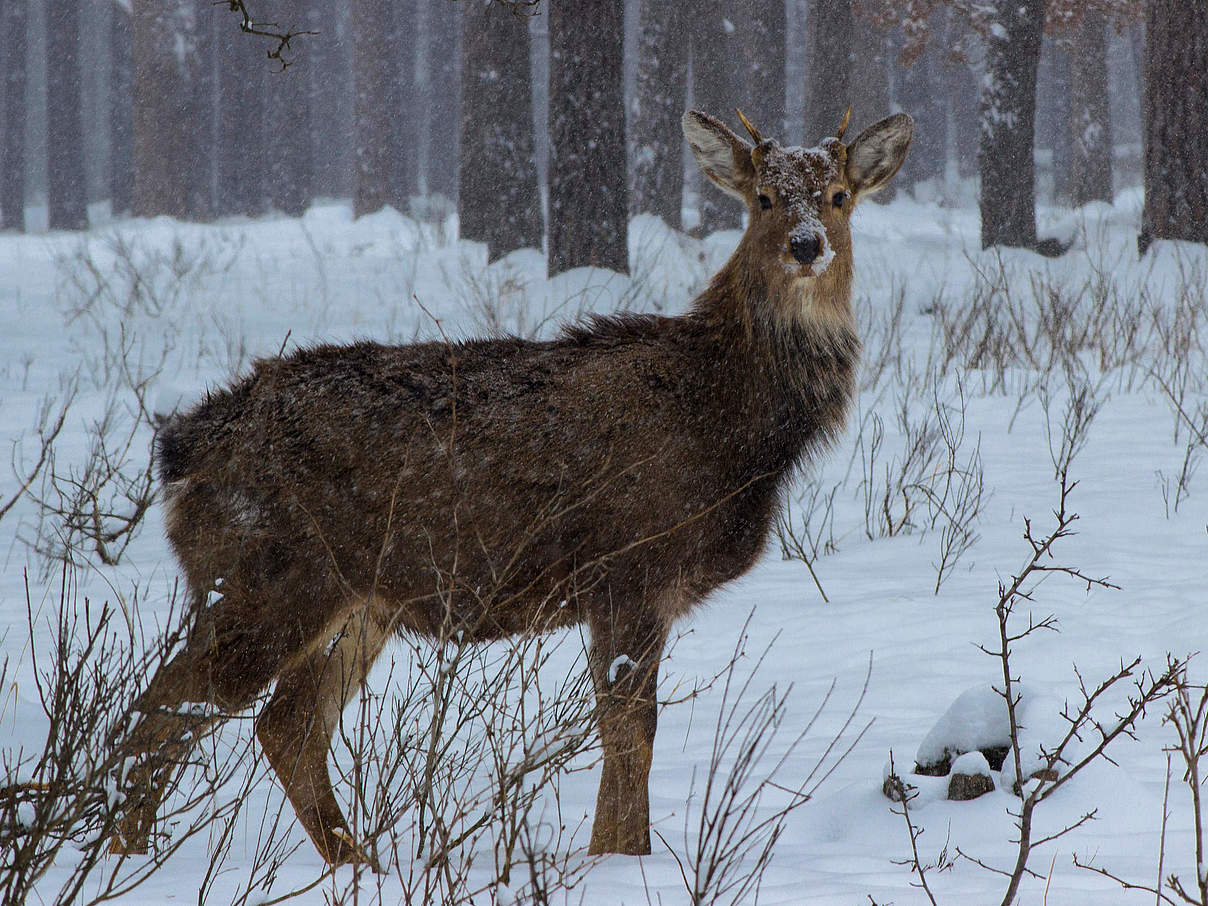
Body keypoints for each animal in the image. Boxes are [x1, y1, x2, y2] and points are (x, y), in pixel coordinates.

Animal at [113, 106, 908, 864]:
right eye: (764, 197)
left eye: (838, 196)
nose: (807, 244)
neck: (729, 423)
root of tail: (183, 448)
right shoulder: (629, 569)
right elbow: (631, 734)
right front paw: (618, 859)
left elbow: (626, 733)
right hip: (265, 576)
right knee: (166, 708)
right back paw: (123, 853)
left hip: (358, 602)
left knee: (287, 727)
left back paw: (355, 862)